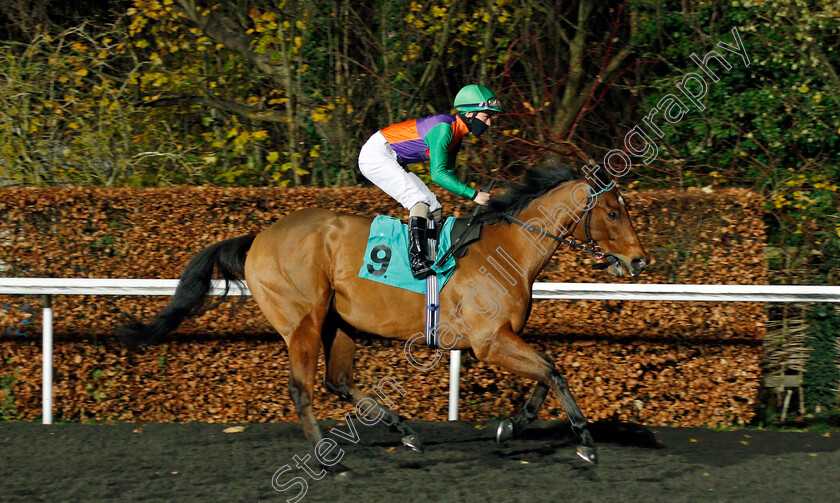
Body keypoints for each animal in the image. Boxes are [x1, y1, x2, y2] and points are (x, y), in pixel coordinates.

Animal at [118, 165, 648, 472]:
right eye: (614, 212)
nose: (640, 262)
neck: (509, 248)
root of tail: (259, 237)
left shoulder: (504, 338)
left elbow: (547, 373)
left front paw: (512, 426)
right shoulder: (488, 341)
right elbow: (553, 371)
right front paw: (586, 442)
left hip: (340, 324)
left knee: (337, 380)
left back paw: (405, 431)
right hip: (303, 321)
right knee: (303, 388)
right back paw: (327, 461)